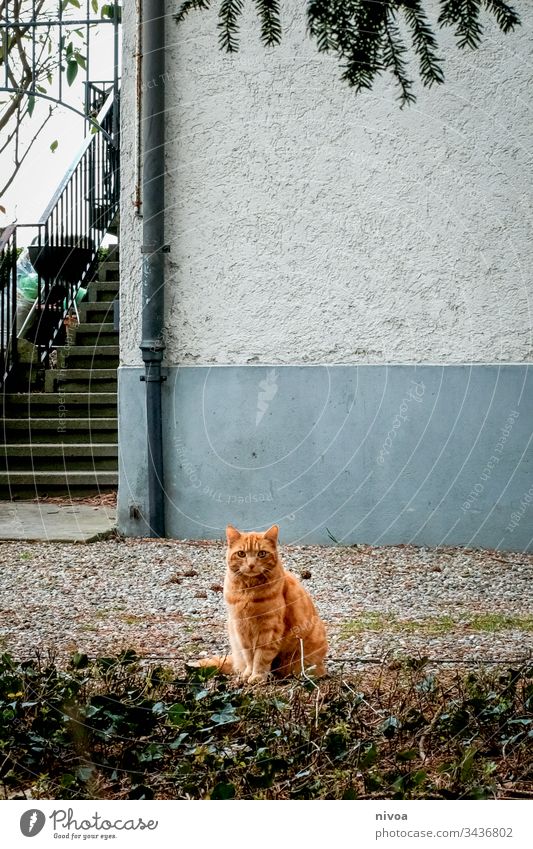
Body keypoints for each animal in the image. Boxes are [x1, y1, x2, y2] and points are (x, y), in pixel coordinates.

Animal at [197, 524, 326, 684]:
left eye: (262, 554)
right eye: (241, 554)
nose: (251, 565)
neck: (248, 591)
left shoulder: (269, 629)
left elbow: (261, 656)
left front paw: (257, 676)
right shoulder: (241, 628)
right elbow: (249, 656)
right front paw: (248, 673)